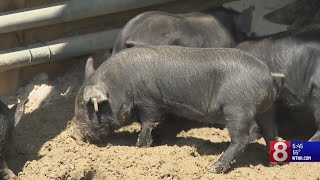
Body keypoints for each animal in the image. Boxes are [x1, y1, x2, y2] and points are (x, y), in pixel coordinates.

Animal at [72, 46, 282, 173]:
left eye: (86, 106)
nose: (74, 135)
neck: (121, 83)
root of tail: (268, 74)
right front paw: (158, 141)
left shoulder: (148, 101)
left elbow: (148, 123)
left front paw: (139, 147)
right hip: (267, 110)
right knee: (271, 132)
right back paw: (274, 164)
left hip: (237, 109)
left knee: (242, 139)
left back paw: (212, 169)